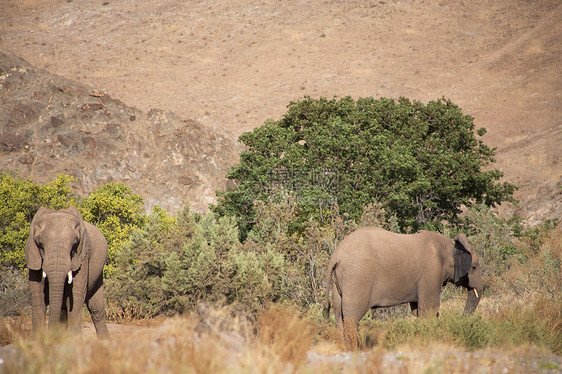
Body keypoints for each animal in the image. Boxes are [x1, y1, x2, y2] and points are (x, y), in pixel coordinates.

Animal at [25, 206, 109, 338]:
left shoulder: (83, 256)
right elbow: (38, 295)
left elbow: (76, 293)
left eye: (74, 245)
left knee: (96, 308)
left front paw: (74, 339)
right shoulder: (32, 256)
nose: (51, 335)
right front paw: (37, 339)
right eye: (40, 245)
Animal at [324, 226, 482, 350]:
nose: (461, 320)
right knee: (351, 317)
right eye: (474, 267)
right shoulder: (431, 273)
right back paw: (353, 350)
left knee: (338, 315)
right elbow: (429, 310)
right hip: (357, 278)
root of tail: (336, 255)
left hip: (339, 281)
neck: (448, 244)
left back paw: (344, 348)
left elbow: (418, 310)